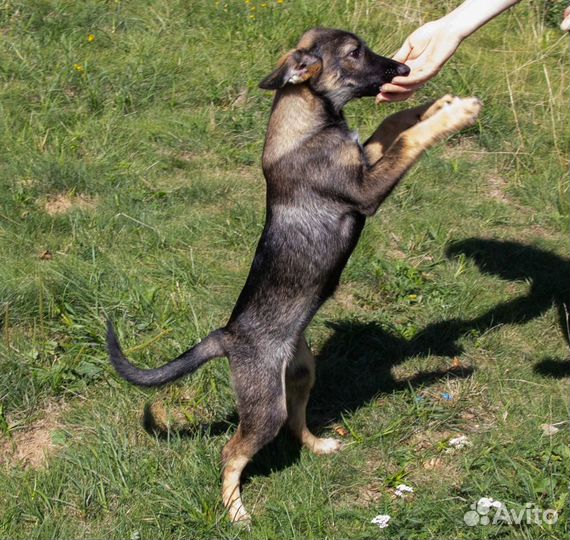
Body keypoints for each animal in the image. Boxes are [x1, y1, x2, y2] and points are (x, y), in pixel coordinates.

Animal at [106, 28, 480, 524]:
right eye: (355, 53)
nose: (403, 70)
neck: (310, 123)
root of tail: (227, 336)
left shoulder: (364, 159)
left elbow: (391, 125)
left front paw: (434, 105)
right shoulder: (366, 190)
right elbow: (408, 140)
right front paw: (454, 114)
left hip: (301, 374)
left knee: (294, 422)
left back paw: (317, 445)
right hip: (264, 405)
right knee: (232, 452)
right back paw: (236, 511)